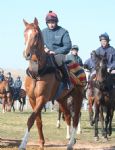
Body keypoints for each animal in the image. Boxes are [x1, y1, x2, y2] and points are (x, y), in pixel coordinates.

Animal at [18, 17, 85, 150]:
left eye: (36, 35)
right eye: (24, 34)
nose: (26, 54)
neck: (37, 72)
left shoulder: (42, 98)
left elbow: (31, 119)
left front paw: (23, 144)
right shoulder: (32, 99)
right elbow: (37, 120)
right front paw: (41, 143)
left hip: (78, 97)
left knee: (75, 118)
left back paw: (70, 143)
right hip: (62, 99)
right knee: (68, 116)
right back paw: (70, 138)